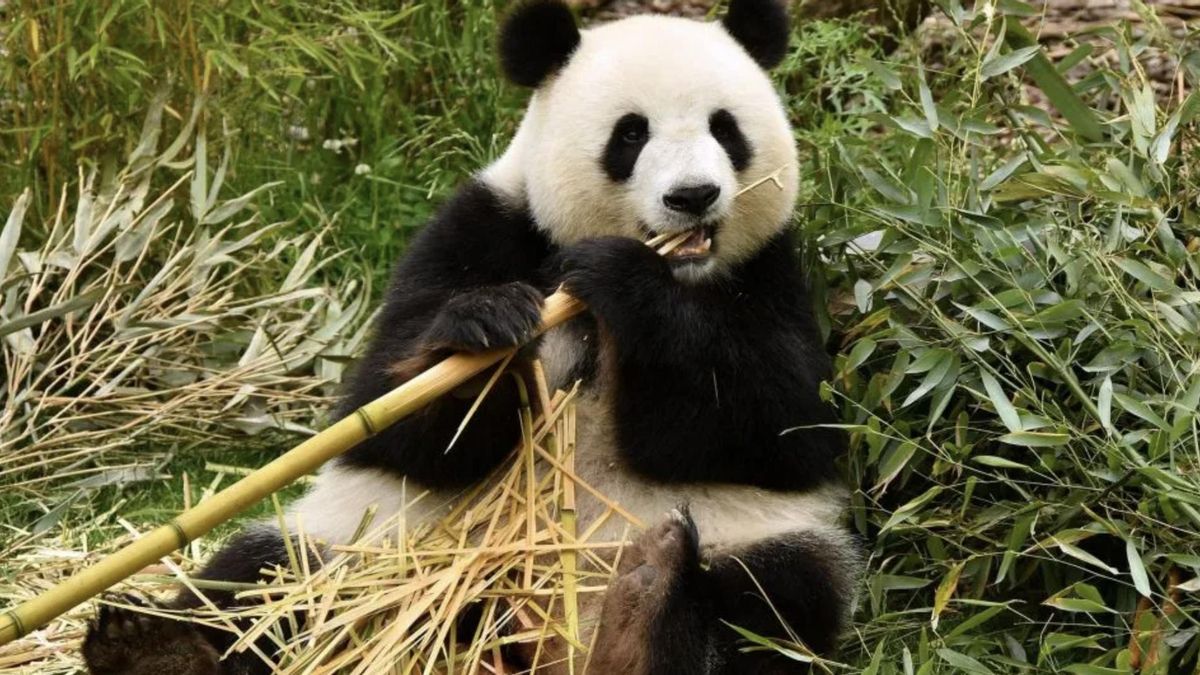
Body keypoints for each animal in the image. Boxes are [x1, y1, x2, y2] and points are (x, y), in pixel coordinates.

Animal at [83, 1, 860, 673]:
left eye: (725, 129)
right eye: (631, 134)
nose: (693, 196)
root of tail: (549, 643)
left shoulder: (773, 273)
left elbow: (783, 423)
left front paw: (627, 282)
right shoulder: (484, 228)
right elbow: (387, 414)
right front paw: (484, 329)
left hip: (751, 536)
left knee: (776, 597)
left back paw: (643, 611)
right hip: (372, 542)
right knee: (266, 578)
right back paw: (152, 647)